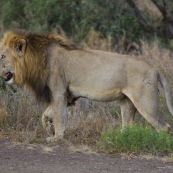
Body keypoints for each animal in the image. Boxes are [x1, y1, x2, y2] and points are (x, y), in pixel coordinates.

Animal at [0, 31, 173, 141]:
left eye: (2, 56)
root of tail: (154, 68)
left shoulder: (58, 91)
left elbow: (59, 116)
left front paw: (56, 138)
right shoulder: (67, 95)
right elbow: (46, 115)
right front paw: (49, 129)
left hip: (146, 103)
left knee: (164, 127)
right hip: (127, 103)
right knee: (128, 127)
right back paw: (118, 138)